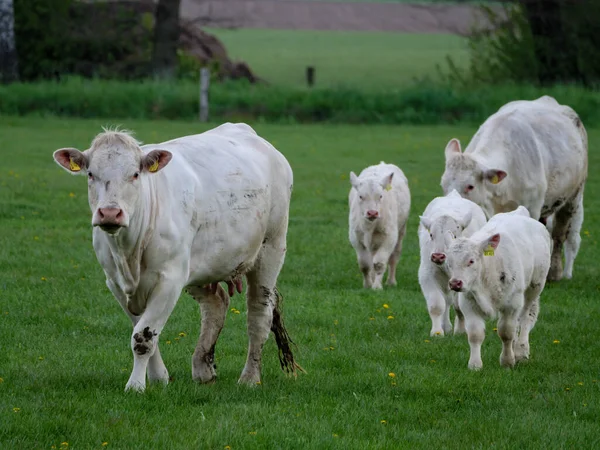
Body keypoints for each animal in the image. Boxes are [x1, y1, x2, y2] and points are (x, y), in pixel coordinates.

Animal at [53, 122, 302, 390]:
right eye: (90, 174)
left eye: (135, 174)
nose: (110, 213)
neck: (128, 254)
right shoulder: (115, 282)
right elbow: (142, 329)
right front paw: (158, 378)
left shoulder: (169, 279)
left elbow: (143, 338)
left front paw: (136, 385)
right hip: (201, 265)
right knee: (216, 304)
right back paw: (203, 368)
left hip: (271, 249)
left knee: (258, 315)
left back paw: (249, 377)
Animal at [418, 188, 488, 336]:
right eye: (431, 235)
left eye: (454, 235)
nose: (438, 256)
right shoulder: (427, 273)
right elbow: (437, 304)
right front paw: (437, 332)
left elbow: (458, 306)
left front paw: (460, 330)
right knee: (446, 300)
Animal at [440, 96, 584, 282]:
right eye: (443, 184)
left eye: (470, 186)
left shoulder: (533, 207)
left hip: (573, 197)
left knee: (559, 234)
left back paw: (555, 272)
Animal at [442, 207, 552, 370]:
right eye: (449, 262)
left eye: (471, 261)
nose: (455, 283)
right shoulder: (468, 302)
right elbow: (475, 334)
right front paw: (475, 364)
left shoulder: (512, 303)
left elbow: (506, 332)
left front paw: (507, 361)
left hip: (534, 287)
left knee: (525, 318)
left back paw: (520, 351)